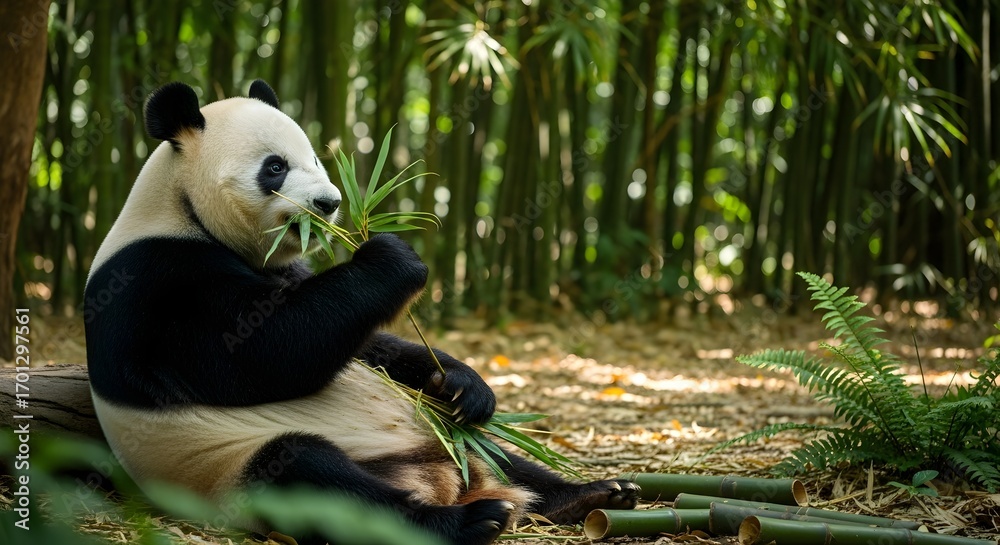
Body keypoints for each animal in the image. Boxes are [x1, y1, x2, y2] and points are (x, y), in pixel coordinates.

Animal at [84, 79, 639, 545]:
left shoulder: (285, 270)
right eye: (275, 167)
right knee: (316, 481)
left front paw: (461, 383)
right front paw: (392, 256)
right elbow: (261, 353)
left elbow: (364, 341)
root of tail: (440, 478)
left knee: (496, 451)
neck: (181, 208)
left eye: (315, 158)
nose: (330, 203)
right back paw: (469, 520)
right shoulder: (156, 286)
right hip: (226, 464)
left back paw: (591, 493)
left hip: (447, 440)